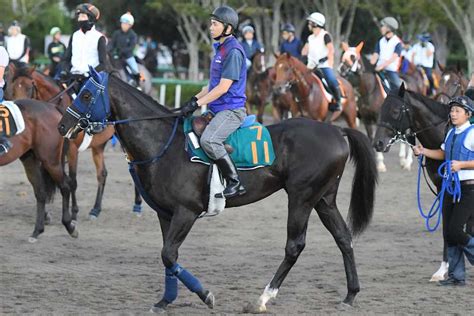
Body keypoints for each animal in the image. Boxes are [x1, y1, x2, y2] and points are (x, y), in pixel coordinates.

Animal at [0, 99, 76, 242]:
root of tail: (51, 106)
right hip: (30, 159)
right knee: (41, 192)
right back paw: (37, 231)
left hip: (50, 161)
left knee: (65, 186)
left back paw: (70, 226)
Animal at [4, 63, 143, 218]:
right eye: (10, 88)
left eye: (29, 87)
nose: (20, 106)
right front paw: (45, 214)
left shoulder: (71, 150)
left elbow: (72, 181)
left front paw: (74, 213)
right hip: (99, 146)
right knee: (102, 174)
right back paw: (96, 209)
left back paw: (137, 205)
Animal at [58, 71, 378, 314]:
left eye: (85, 95)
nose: (63, 125)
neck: (165, 144)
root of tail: (337, 131)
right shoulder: (166, 214)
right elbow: (168, 257)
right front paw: (165, 300)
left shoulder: (186, 213)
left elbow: (168, 255)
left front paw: (205, 295)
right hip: (323, 199)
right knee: (343, 238)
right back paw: (350, 294)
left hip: (301, 197)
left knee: (294, 246)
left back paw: (263, 298)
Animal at [374, 82, 474, 280]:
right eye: (381, 109)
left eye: (395, 111)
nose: (378, 143)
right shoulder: (443, 189)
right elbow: (447, 227)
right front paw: (443, 269)